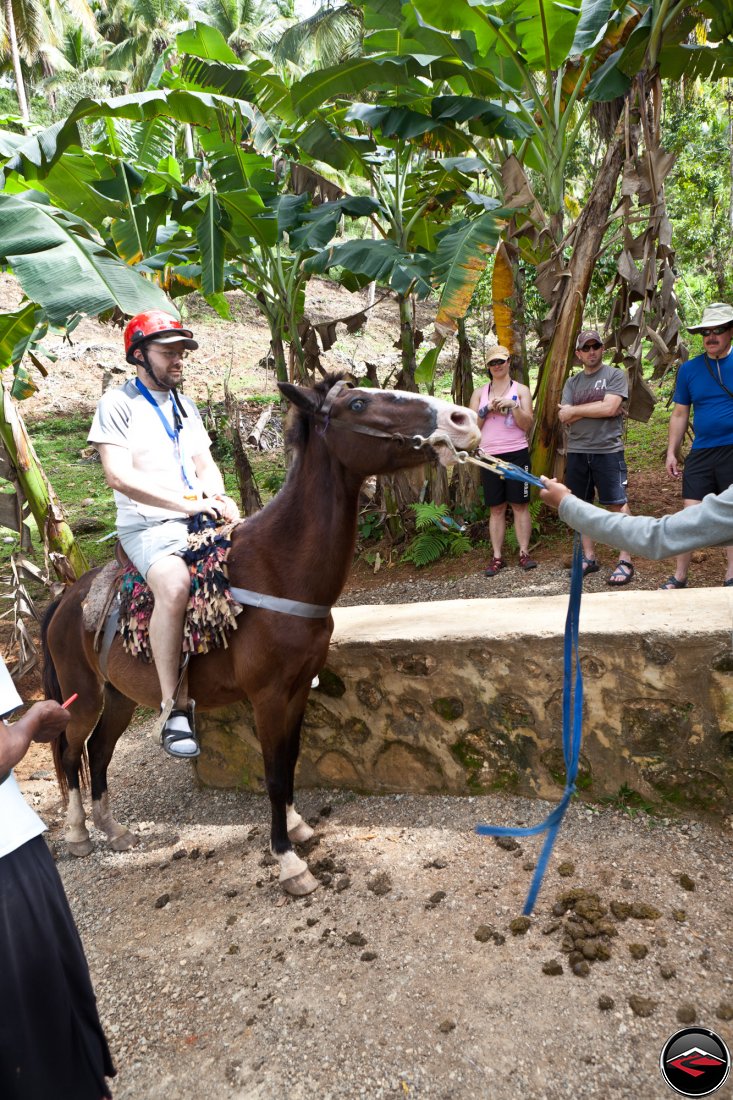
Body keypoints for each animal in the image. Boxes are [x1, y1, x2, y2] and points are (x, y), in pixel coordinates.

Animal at [41, 376, 479, 893]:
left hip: (120, 696)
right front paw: (289, 860)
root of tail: (67, 598)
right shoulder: (267, 696)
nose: (463, 418)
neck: (277, 570)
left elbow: (289, 764)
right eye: (357, 403)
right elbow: (272, 775)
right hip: (83, 695)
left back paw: (113, 829)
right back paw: (77, 835)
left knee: (99, 751)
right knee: (72, 754)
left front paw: (297, 827)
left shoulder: (297, 689)